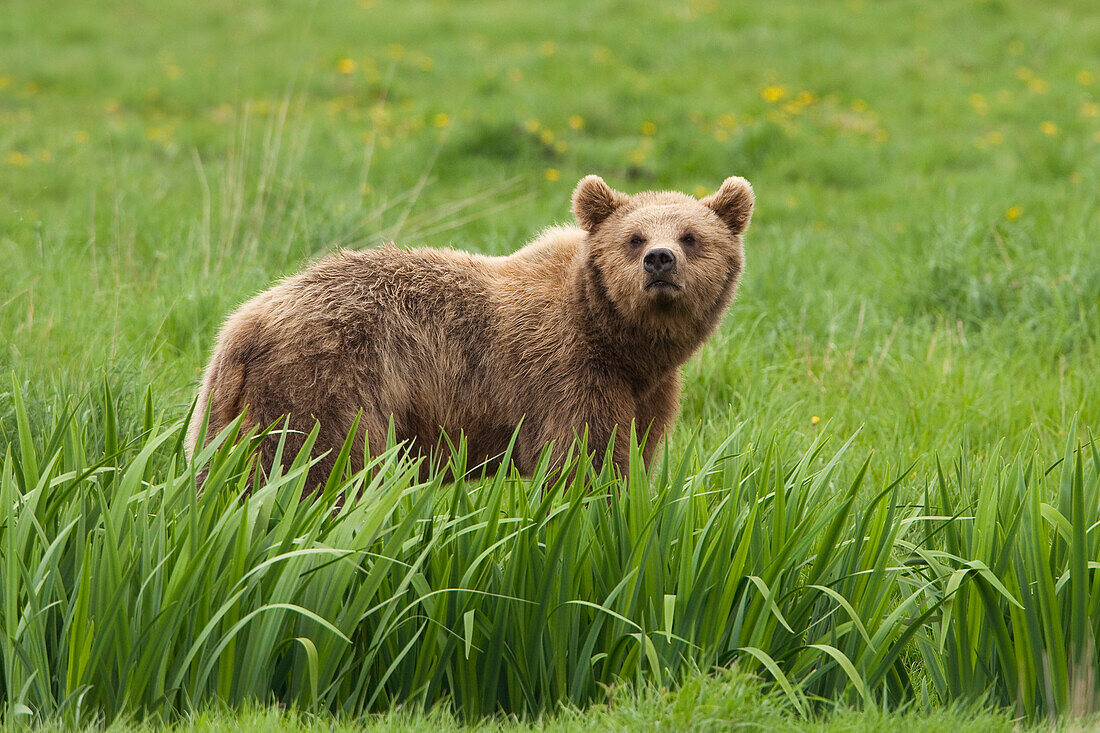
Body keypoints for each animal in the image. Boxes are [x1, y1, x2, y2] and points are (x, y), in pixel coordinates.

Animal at [187, 173, 756, 484]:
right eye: (633, 238)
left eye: (691, 236)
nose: (660, 260)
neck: (620, 340)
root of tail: (241, 323)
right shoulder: (567, 374)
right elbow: (581, 462)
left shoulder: (648, 393)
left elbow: (634, 450)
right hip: (325, 383)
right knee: (312, 470)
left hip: (230, 409)